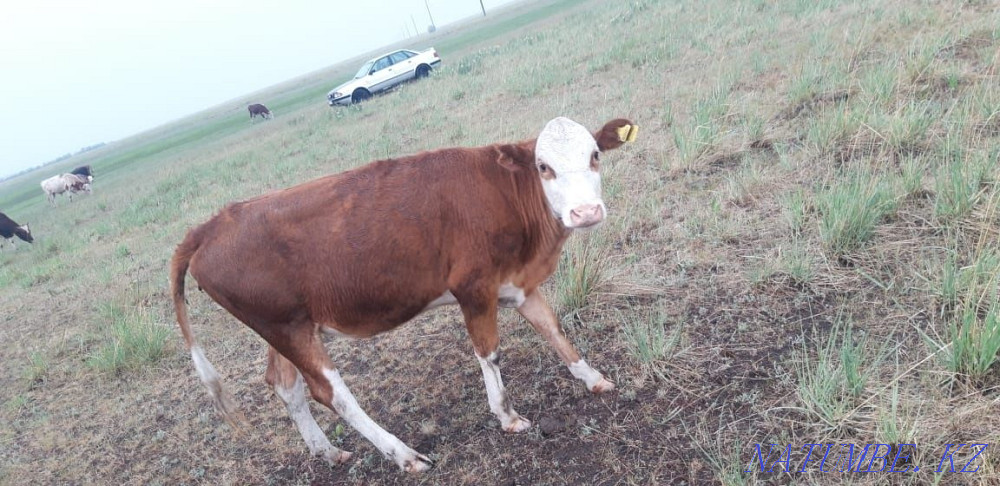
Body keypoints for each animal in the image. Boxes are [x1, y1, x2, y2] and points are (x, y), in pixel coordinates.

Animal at [170, 117, 638, 473]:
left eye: (595, 156)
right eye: (544, 167)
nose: (585, 212)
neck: (506, 195)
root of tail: (211, 225)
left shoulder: (520, 284)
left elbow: (554, 330)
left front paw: (594, 378)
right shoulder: (474, 289)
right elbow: (488, 353)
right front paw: (506, 416)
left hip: (288, 327)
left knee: (286, 387)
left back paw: (327, 451)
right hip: (288, 330)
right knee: (332, 394)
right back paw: (404, 455)